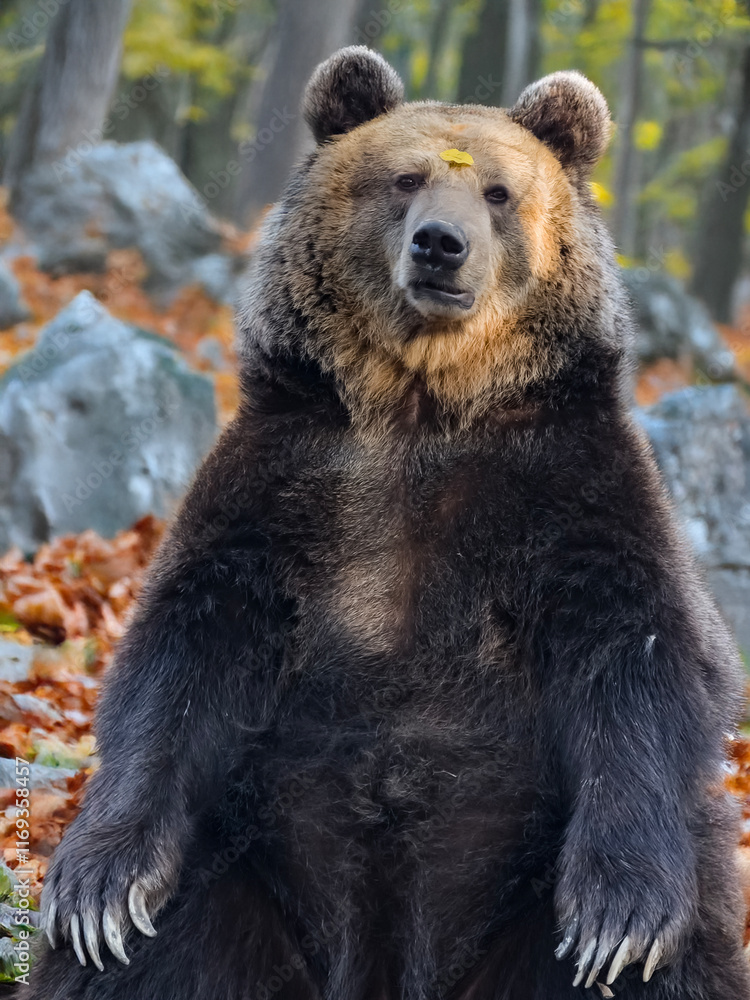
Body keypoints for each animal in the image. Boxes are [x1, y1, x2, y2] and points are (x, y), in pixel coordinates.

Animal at [23, 46, 750, 1000]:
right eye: (405, 180)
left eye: (498, 193)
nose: (441, 244)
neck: (422, 408)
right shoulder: (286, 477)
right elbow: (183, 649)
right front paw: (100, 888)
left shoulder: (568, 484)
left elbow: (640, 653)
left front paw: (617, 918)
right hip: (241, 866)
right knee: (152, 949)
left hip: (524, 902)